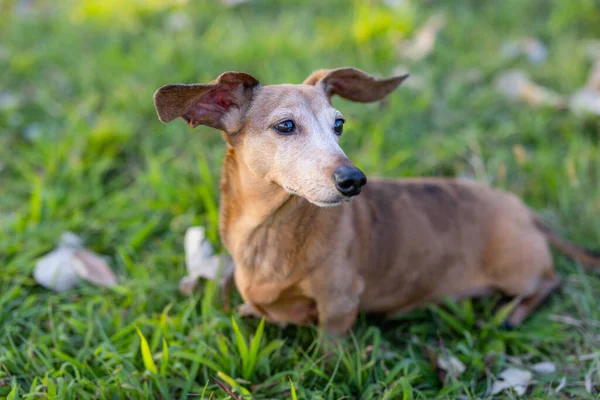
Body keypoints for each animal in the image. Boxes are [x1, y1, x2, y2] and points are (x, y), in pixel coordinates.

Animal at [155, 68, 600, 334]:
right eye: (285, 126)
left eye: (339, 124)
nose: (354, 180)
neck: (272, 231)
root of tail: (525, 211)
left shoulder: (340, 303)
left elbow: (329, 350)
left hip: (518, 272)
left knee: (551, 281)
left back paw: (513, 314)